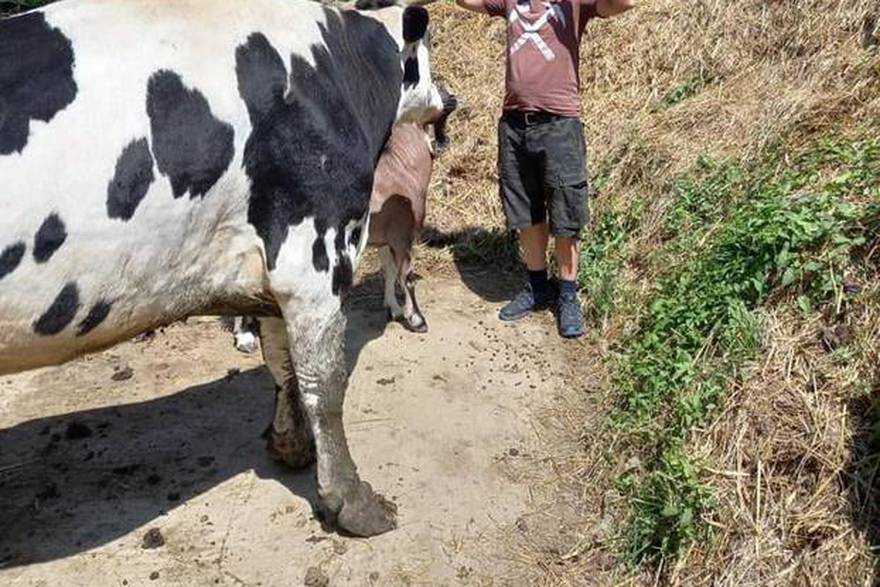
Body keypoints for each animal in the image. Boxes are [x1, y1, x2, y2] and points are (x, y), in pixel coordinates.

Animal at [1, 0, 446, 536]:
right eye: (430, 52)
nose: (450, 98)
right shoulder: (317, 252)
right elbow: (325, 384)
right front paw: (355, 504)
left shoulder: (269, 263)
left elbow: (282, 362)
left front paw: (290, 445)